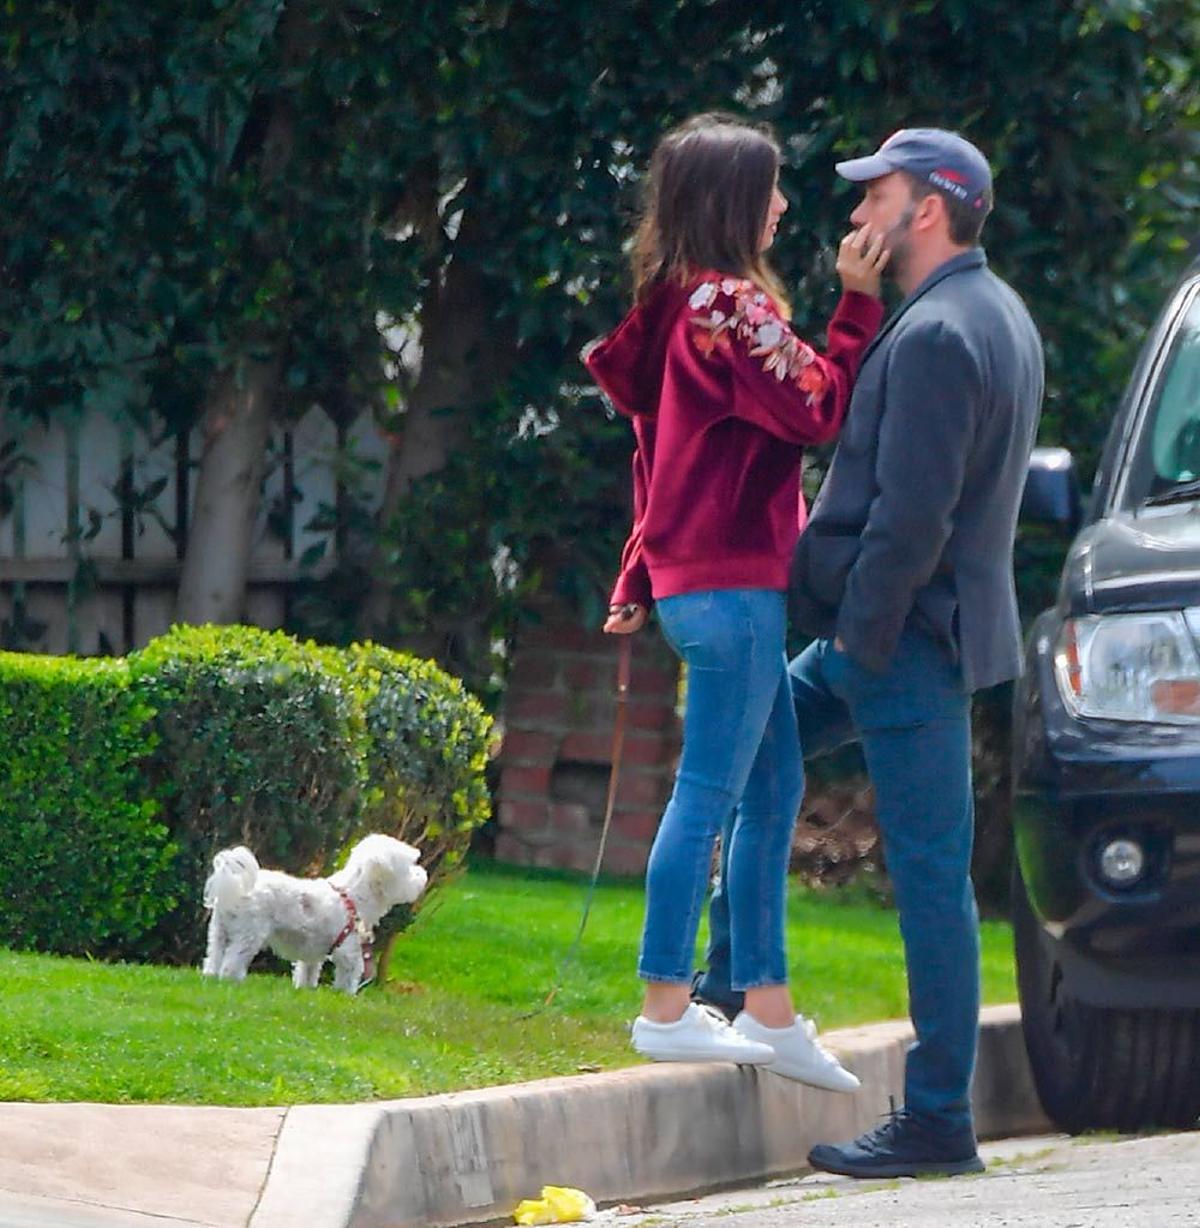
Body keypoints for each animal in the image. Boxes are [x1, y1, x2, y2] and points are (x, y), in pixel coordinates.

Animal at [203, 830, 427, 992]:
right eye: (409, 869)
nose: (423, 874)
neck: (353, 895)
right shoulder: (348, 950)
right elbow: (348, 977)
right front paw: (345, 995)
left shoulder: (313, 950)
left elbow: (308, 972)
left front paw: (306, 990)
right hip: (248, 934)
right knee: (231, 963)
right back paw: (232, 981)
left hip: (219, 932)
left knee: (213, 958)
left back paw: (211, 976)